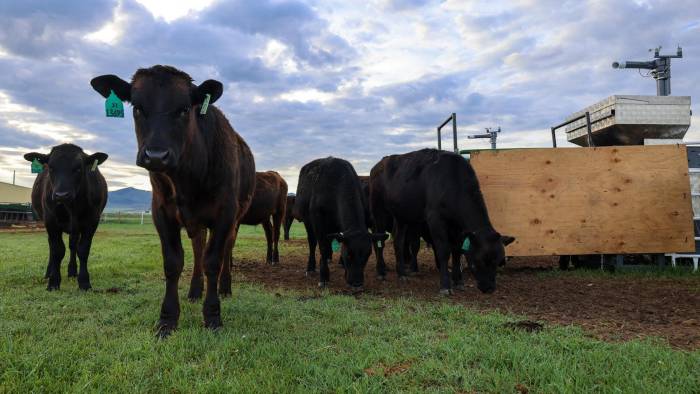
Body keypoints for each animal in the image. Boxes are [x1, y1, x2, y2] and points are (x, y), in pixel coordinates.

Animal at [23, 143, 108, 290]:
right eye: (51, 167)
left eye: (78, 168)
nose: (61, 195)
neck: (71, 206)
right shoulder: (51, 221)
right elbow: (57, 250)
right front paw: (53, 282)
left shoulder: (92, 221)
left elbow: (83, 250)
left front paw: (84, 282)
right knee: (52, 247)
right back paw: (48, 273)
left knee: (73, 245)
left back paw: (72, 271)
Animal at [91, 64, 256, 336]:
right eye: (137, 107)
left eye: (184, 109)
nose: (156, 155)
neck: (187, 180)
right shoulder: (161, 212)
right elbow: (173, 263)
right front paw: (167, 319)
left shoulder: (225, 213)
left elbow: (214, 261)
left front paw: (213, 316)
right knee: (198, 248)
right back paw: (195, 290)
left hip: (235, 218)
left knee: (224, 250)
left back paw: (224, 288)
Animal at [292, 157, 386, 290]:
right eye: (349, 255)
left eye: (367, 255)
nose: (357, 283)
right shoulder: (318, 219)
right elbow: (322, 247)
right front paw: (324, 277)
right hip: (307, 221)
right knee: (312, 242)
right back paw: (311, 267)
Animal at [370, 149, 512, 294]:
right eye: (478, 261)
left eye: (499, 262)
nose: (489, 288)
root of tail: (380, 163)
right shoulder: (435, 219)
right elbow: (443, 250)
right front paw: (445, 285)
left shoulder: (458, 227)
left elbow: (457, 250)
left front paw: (458, 281)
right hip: (378, 209)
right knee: (379, 240)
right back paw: (381, 271)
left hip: (401, 215)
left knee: (398, 240)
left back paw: (402, 274)